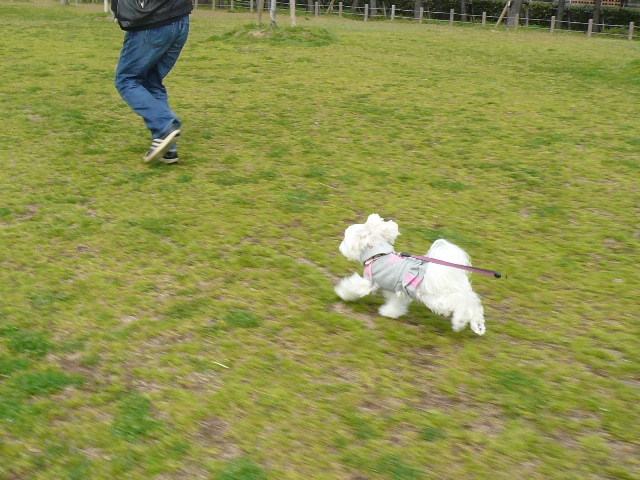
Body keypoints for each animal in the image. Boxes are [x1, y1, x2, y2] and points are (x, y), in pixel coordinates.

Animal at [335, 214, 486, 335]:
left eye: (345, 238)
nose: (340, 246)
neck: (376, 255)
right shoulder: (396, 288)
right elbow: (395, 302)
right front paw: (390, 312)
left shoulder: (369, 281)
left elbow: (354, 286)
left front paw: (342, 292)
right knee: (471, 300)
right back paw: (476, 323)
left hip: (436, 298)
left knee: (461, 302)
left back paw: (459, 321)